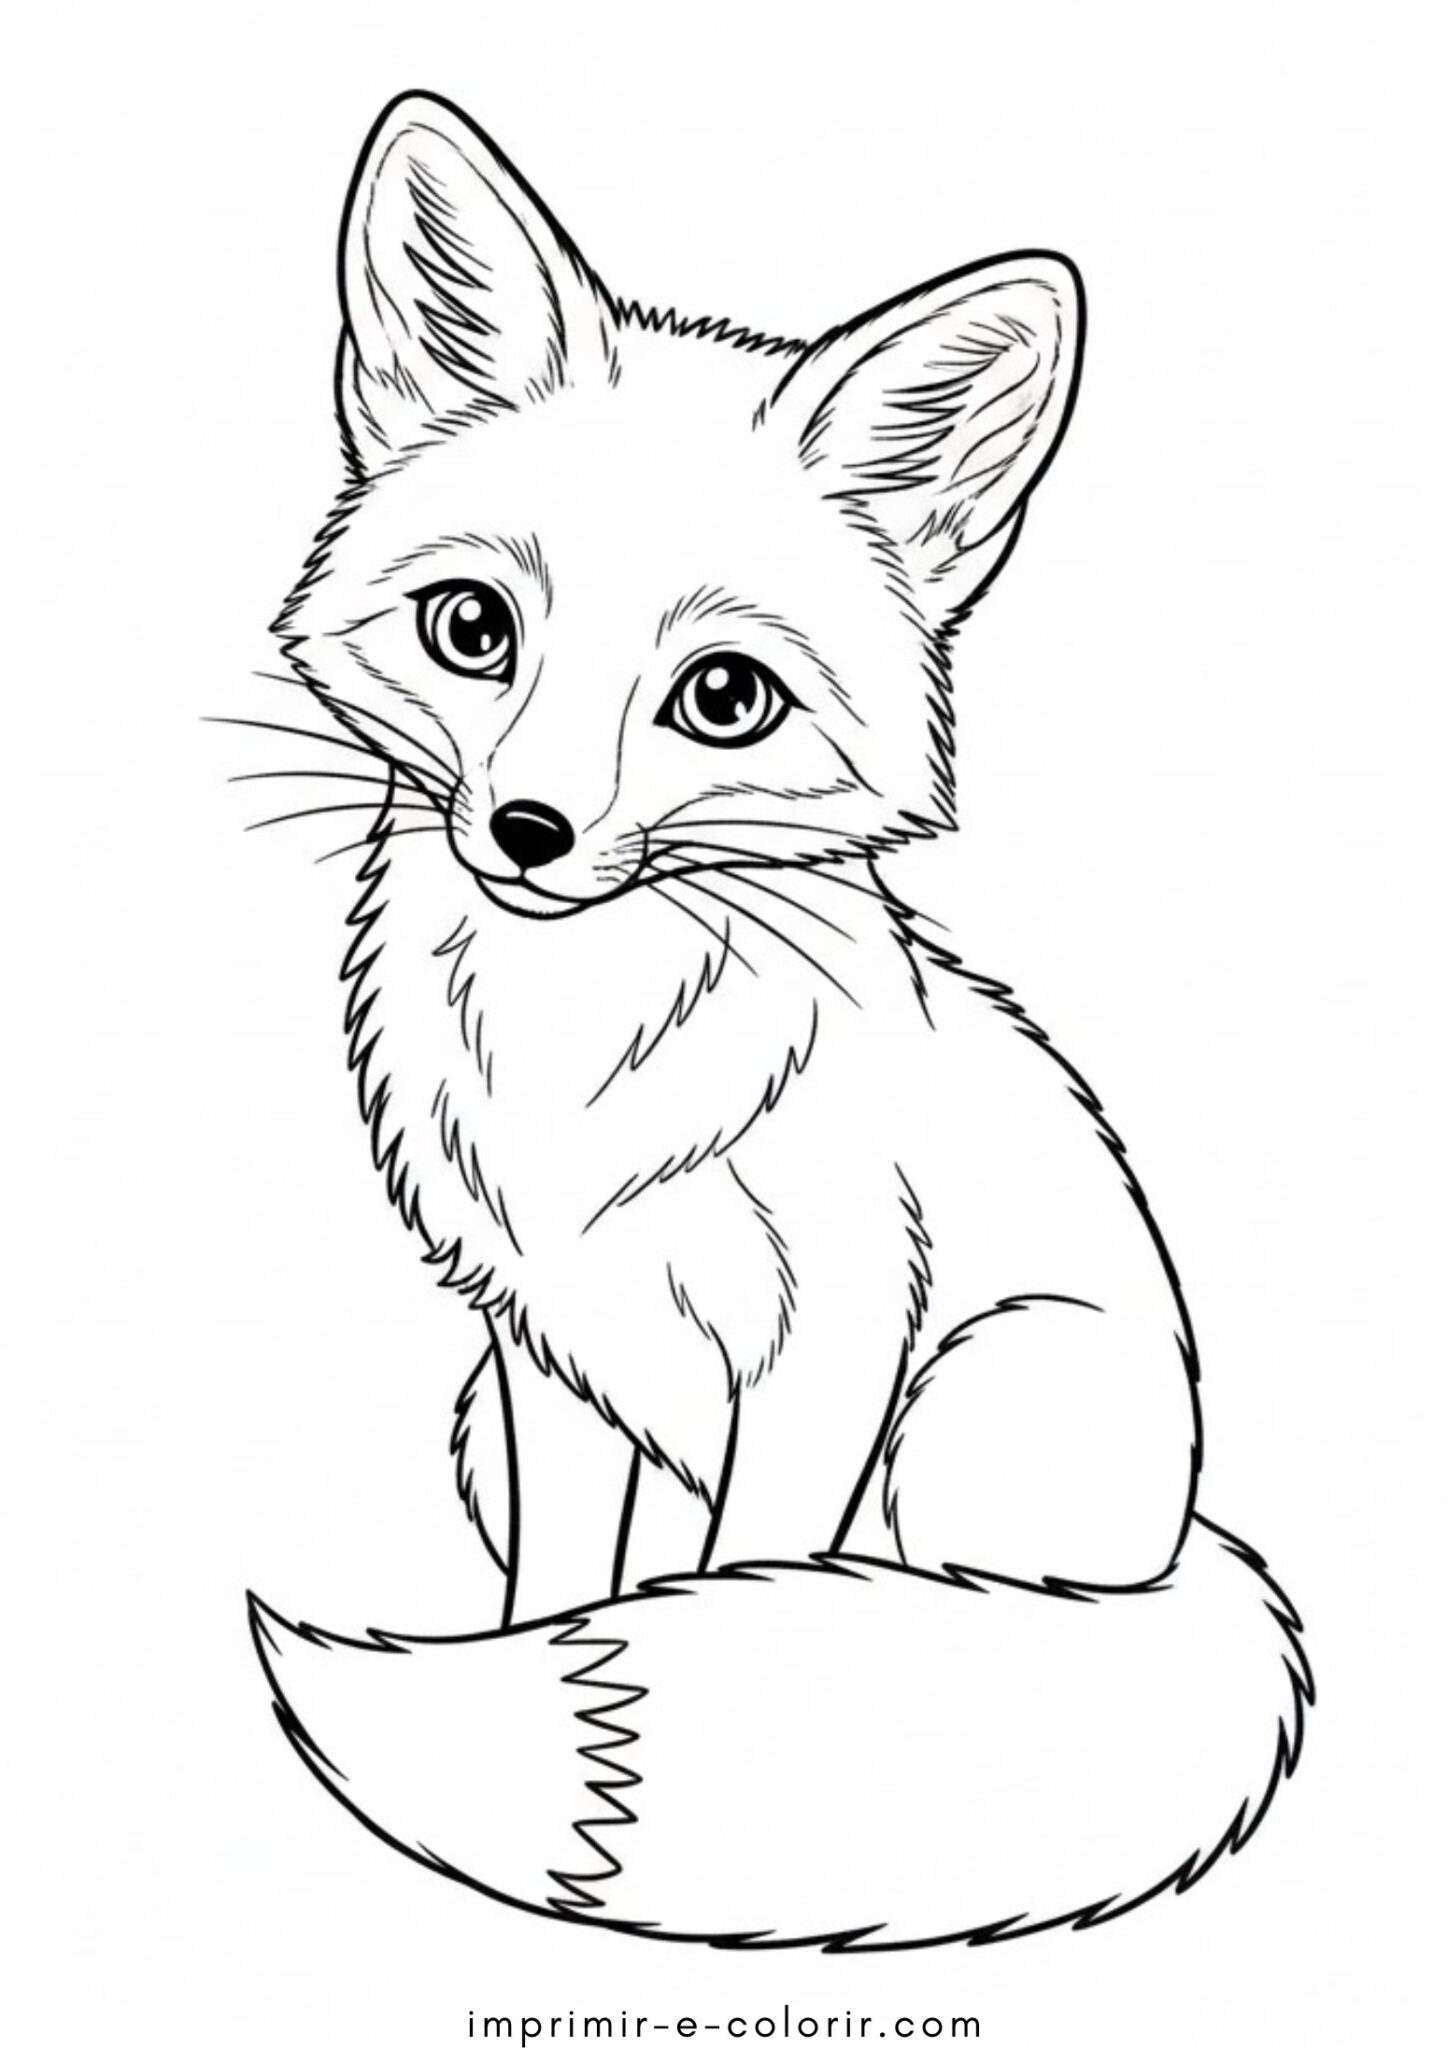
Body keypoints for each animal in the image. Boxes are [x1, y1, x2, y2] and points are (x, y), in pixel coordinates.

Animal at [245, 90, 1311, 1949]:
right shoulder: (544, 1355)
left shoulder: (826, 1349)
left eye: (723, 700)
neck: (577, 1068)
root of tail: (1194, 1542)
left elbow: (721, 1586)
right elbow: (564, 1601)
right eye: (472, 628)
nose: (528, 831)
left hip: (979, 1408)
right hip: (486, 1420)